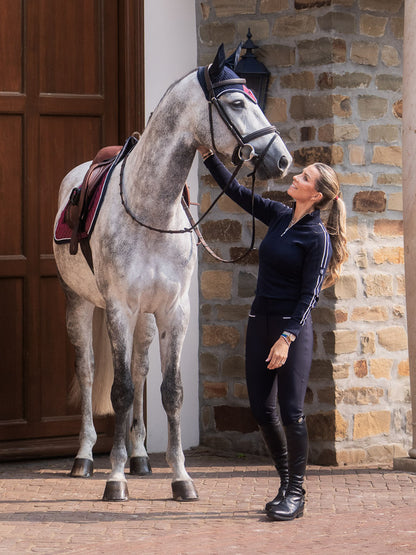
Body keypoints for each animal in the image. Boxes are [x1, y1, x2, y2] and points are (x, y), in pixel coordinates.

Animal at [53, 45, 290, 502]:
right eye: (237, 103)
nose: (282, 159)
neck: (151, 210)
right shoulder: (119, 309)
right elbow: (121, 391)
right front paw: (115, 479)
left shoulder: (174, 311)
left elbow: (170, 391)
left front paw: (180, 477)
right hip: (79, 303)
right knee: (88, 371)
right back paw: (86, 457)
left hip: (146, 317)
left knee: (141, 369)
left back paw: (141, 456)